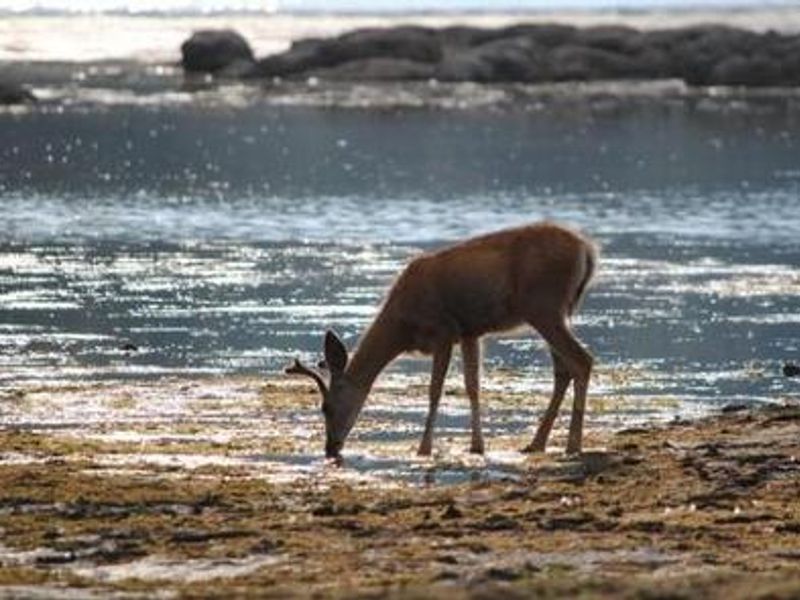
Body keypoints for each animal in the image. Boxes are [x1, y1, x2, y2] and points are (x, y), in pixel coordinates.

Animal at [285, 222, 596, 462]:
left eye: (326, 407)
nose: (330, 448)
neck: (402, 325)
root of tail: (587, 250)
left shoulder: (443, 331)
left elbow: (435, 390)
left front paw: (424, 448)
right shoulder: (470, 332)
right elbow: (473, 387)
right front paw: (476, 446)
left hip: (544, 307)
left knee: (582, 360)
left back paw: (573, 445)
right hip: (557, 311)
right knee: (563, 369)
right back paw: (536, 443)